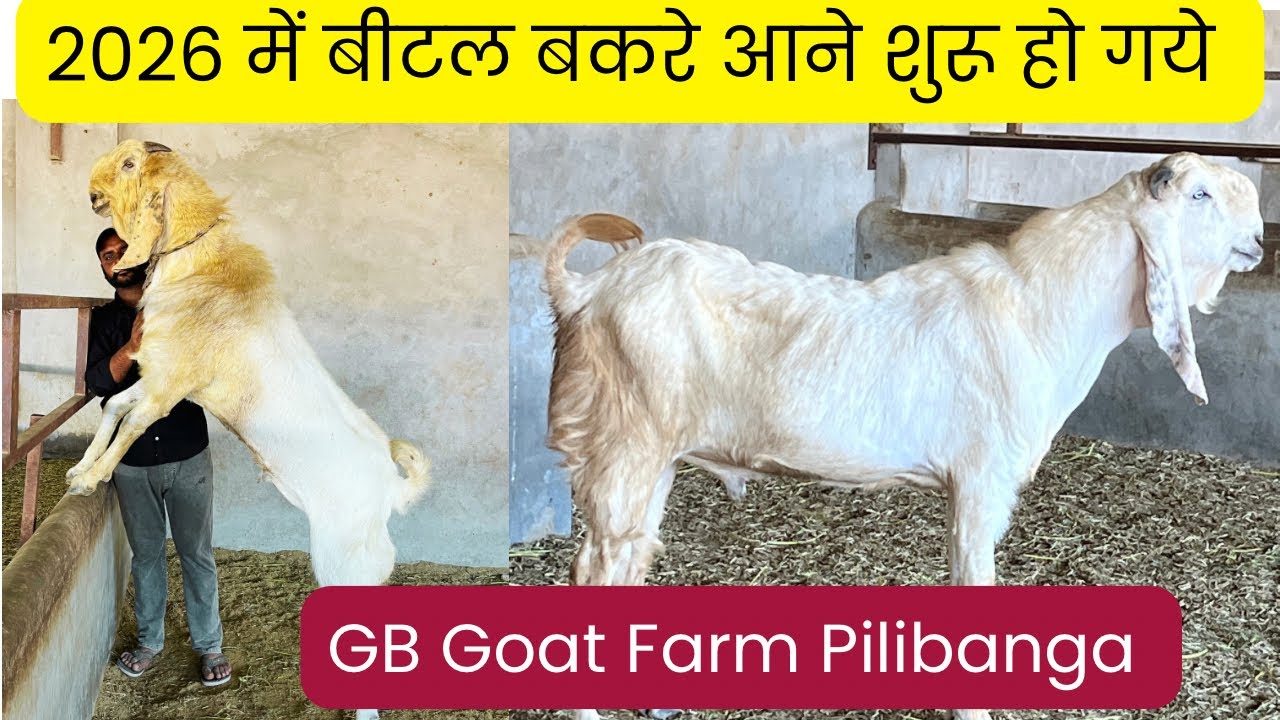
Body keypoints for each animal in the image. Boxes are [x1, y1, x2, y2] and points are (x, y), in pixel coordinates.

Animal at [68, 139, 430, 720]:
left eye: (129, 164)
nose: (92, 195)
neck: (204, 265)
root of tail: (391, 490)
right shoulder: (160, 379)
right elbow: (112, 407)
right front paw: (81, 471)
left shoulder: (170, 386)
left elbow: (131, 426)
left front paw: (94, 476)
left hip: (346, 560)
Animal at [543, 154, 1264, 720]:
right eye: (1198, 193)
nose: (1259, 239)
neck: (1039, 308)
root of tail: (583, 289)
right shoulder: (980, 479)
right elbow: (973, 584)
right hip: (623, 442)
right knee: (593, 570)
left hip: (652, 456)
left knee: (629, 561)